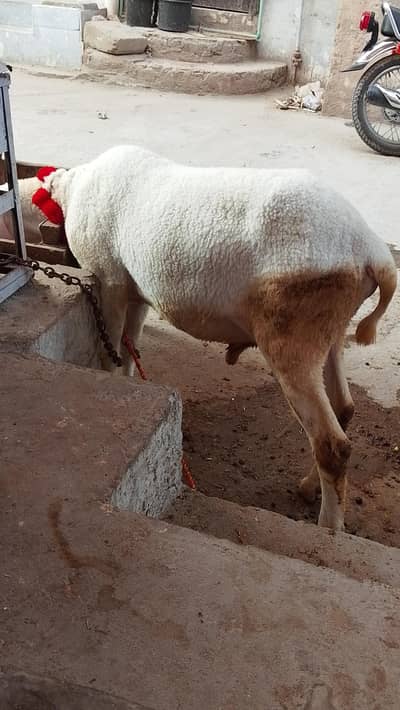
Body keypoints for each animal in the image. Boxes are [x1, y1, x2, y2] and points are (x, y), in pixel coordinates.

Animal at [9, 145, 397, 531]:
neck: (70, 191)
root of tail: (373, 253)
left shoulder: (111, 282)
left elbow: (112, 352)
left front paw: (111, 380)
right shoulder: (136, 292)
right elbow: (130, 349)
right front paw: (129, 382)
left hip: (293, 332)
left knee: (332, 444)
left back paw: (329, 527)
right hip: (331, 330)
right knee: (344, 410)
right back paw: (307, 487)